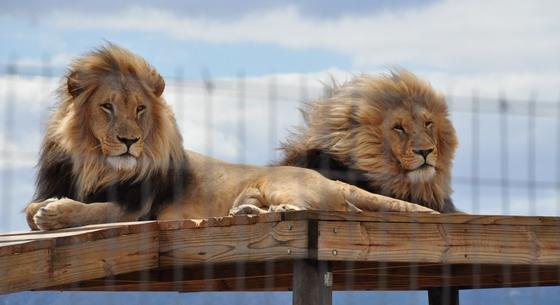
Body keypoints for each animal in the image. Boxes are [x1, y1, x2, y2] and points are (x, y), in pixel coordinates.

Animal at [24, 43, 436, 230]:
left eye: (140, 109)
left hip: (283, 184)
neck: (96, 165)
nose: (130, 142)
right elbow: (31, 209)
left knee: (308, 209)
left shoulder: (140, 209)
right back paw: (247, 210)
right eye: (107, 107)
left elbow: (96, 210)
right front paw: (45, 208)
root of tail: (330, 180)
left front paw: (56, 212)